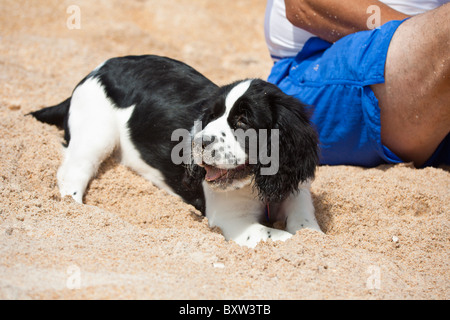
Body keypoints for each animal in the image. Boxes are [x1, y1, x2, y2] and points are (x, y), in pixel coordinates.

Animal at [30, 54, 320, 248]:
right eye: (211, 116)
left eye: (243, 121)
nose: (197, 142)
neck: (256, 185)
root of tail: (96, 71)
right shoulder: (234, 220)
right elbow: (280, 236)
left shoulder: (295, 189)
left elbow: (306, 226)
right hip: (95, 135)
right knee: (72, 174)